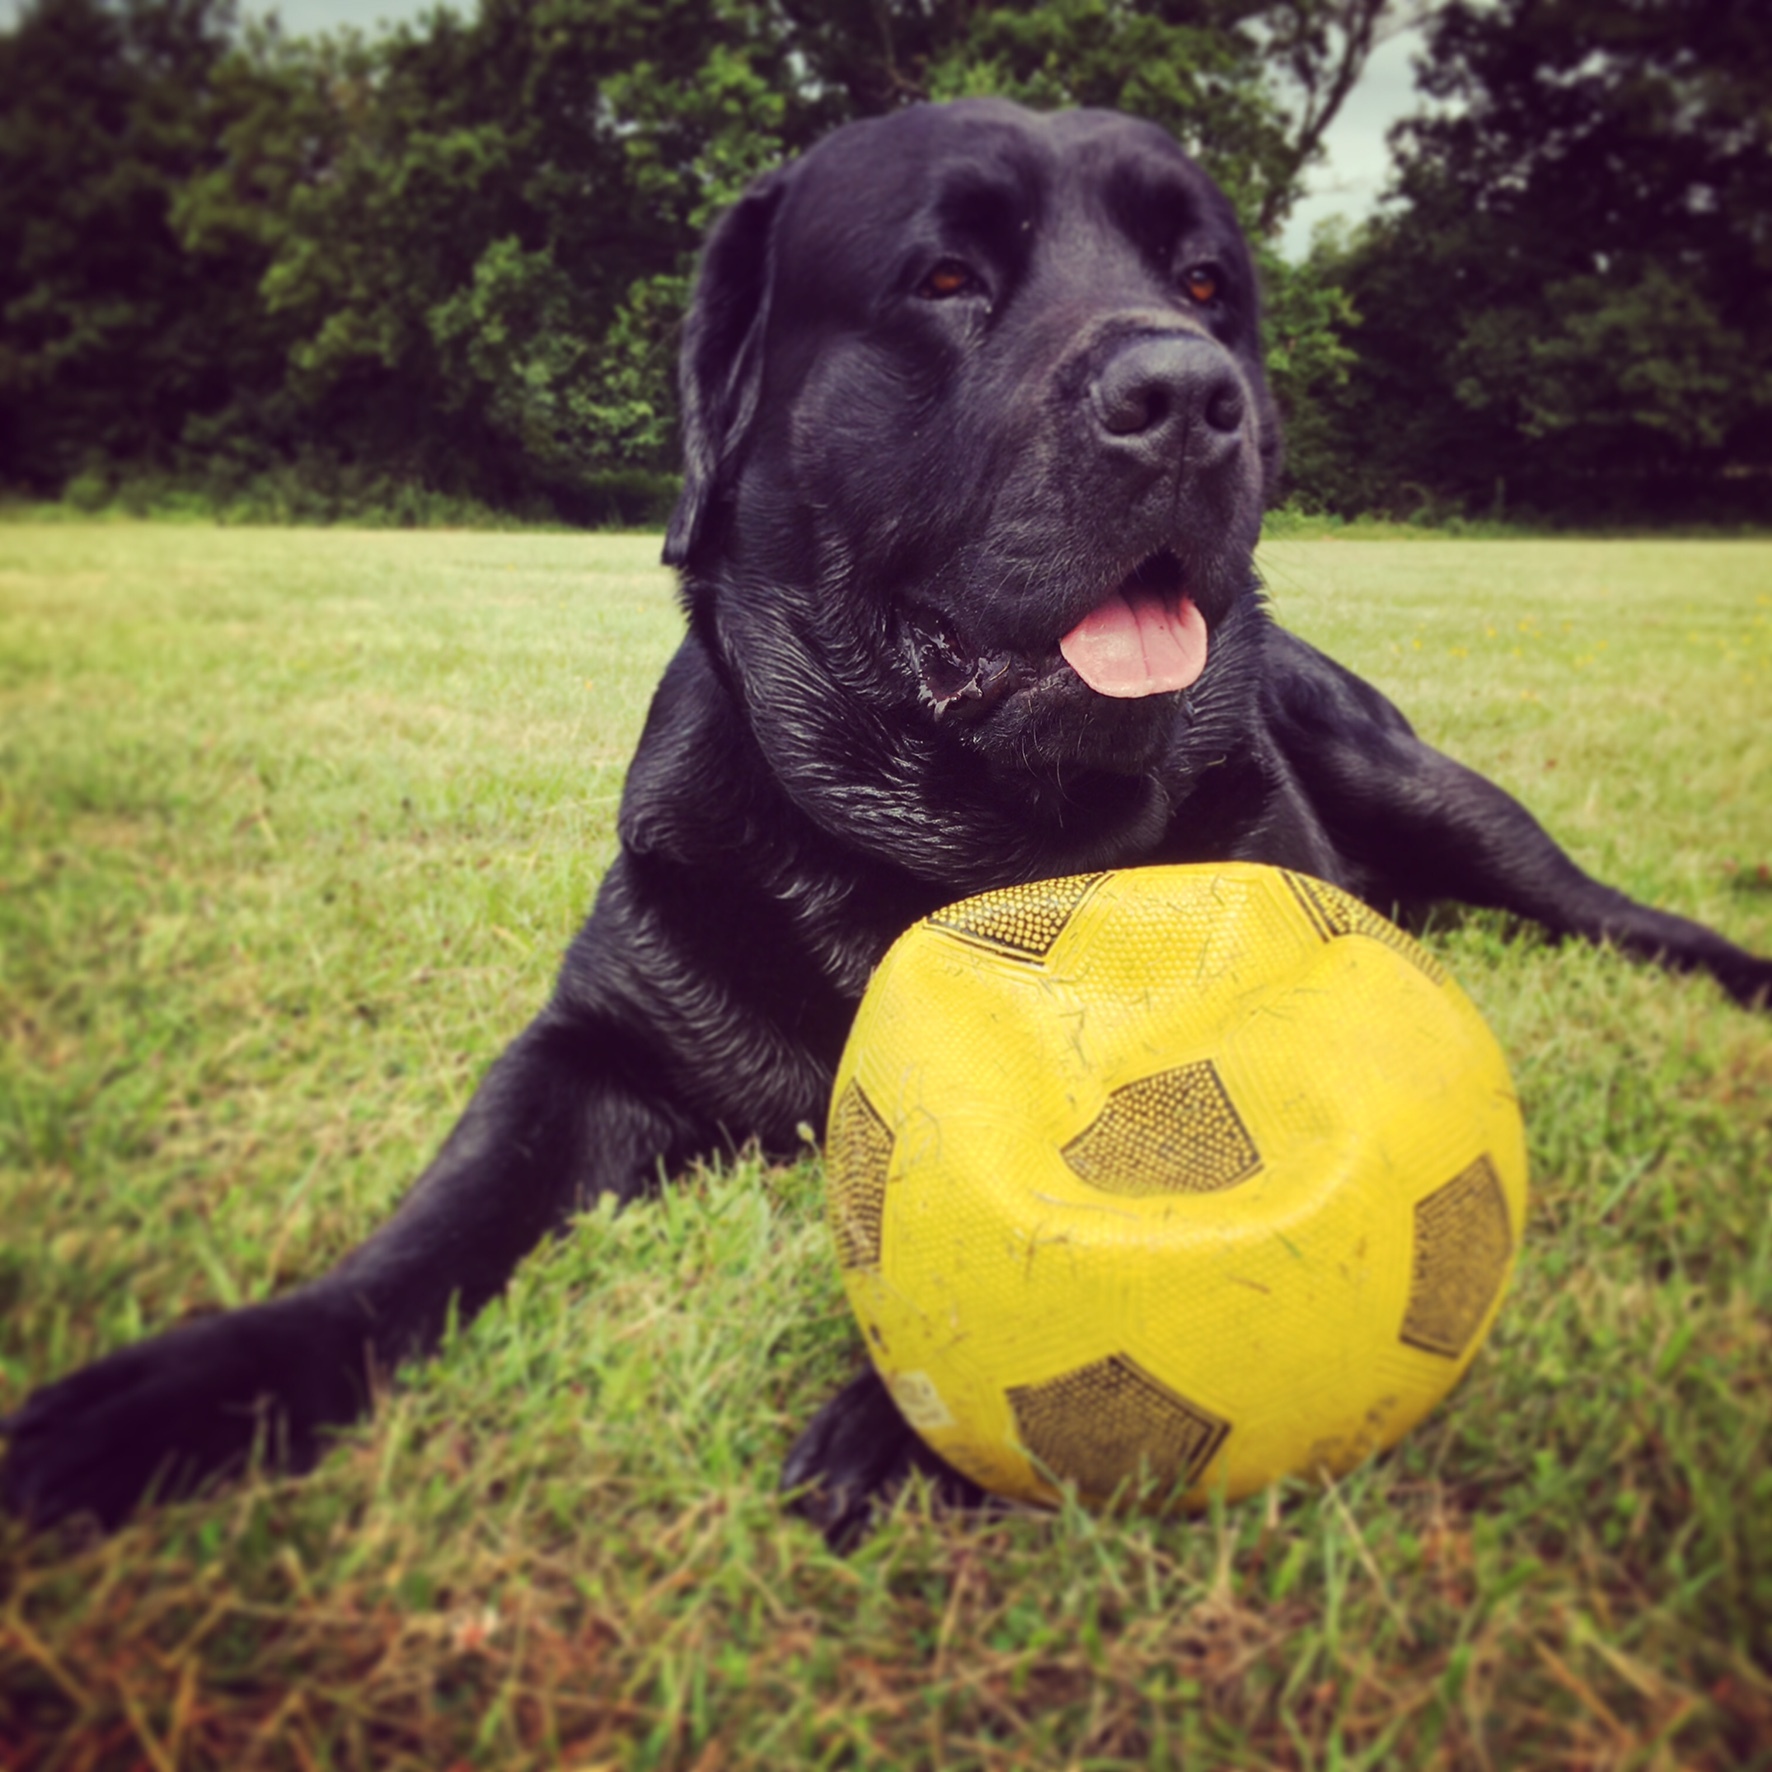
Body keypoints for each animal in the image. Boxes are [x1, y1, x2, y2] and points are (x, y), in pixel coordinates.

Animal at [4, 99, 1767, 1548]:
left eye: (1208, 286)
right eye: (944, 277)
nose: (1190, 396)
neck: (946, 845)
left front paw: (887, 1421)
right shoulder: (590, 1043)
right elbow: (441, 1219)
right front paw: (198, 1388)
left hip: (1429, 790)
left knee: (1606, 906)